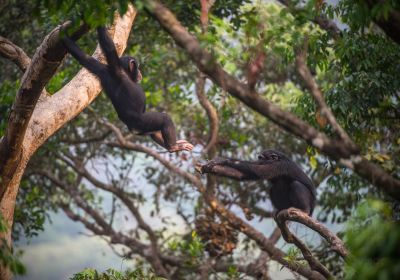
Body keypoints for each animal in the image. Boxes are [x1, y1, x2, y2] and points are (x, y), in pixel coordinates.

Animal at [61, 26, 194, 153]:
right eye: (138, 67)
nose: (140, 72)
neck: (126, 74)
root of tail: (132, 129)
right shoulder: (115, 69)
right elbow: (109, 47)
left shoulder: (102, 69)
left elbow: (85, 58)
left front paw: (63, 35)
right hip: (142, 123)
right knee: (164, 118)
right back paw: (172, 146)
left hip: (144, 129)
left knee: (154, 132)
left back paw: (173, 146)